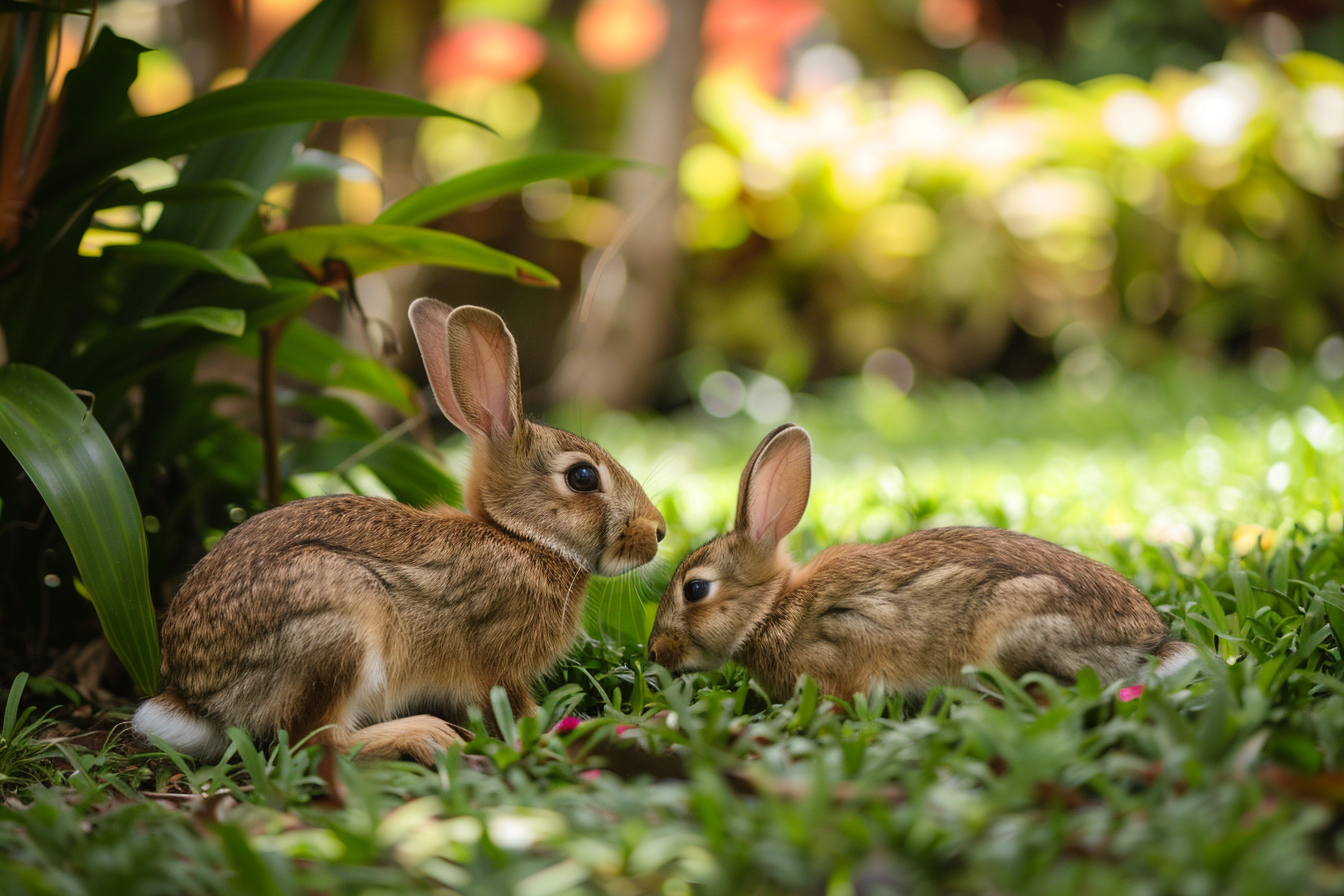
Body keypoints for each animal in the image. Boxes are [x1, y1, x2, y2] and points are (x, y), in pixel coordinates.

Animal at [133, 299, 666, 764]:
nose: (658, 532)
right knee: (316, 742)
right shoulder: (496, 666)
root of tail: (193, 697)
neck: (522, 538)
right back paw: (423, 736)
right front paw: (561, 730)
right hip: (339, 628)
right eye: (583, 477)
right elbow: (515, 713)